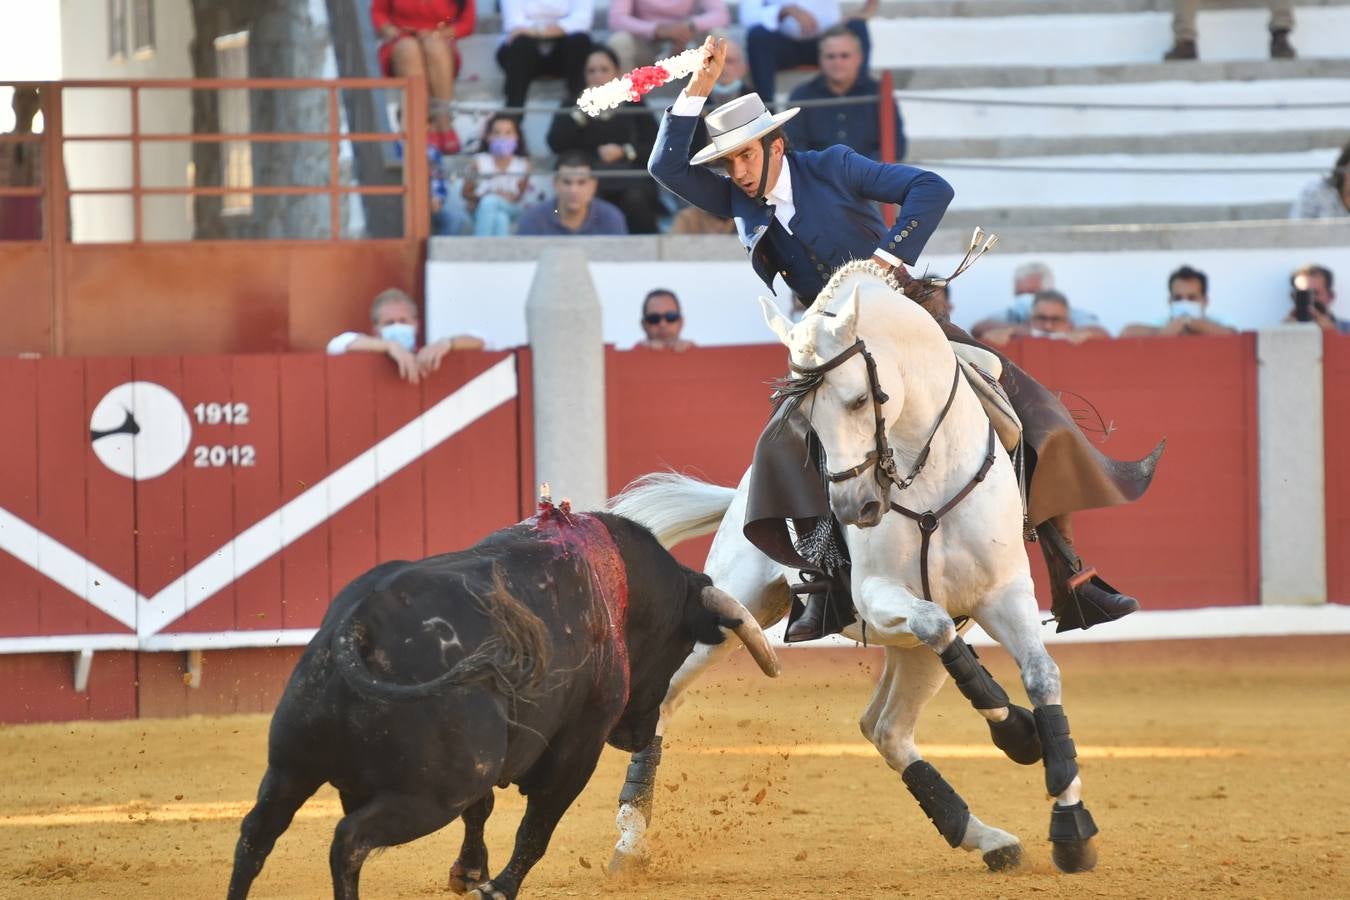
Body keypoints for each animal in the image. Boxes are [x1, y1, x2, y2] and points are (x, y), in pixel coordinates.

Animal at [228, 507, 783, 900]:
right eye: (681, 644)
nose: (638, 735)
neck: (620, 588)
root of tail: (359, 629)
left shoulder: (495, 759)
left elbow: (486, 809)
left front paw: (470, 873)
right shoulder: (577, 749)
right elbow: (536, 829)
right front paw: (496, 888)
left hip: (290, 768)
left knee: (256, 834)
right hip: (430, 795)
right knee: (349, 842)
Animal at [607, 259, 1101, 874]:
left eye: (861, 399)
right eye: (801, 412)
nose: (853, 508)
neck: (923, 470)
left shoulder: (1002, 591)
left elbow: (1041, 675)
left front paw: (1070, 822)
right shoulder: (875, 593)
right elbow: (936, 623)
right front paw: (1019, 734)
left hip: (912, 654)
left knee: (885, 728)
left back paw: (985, 837)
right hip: (732, 609)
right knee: (667, 696)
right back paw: (630, 838)